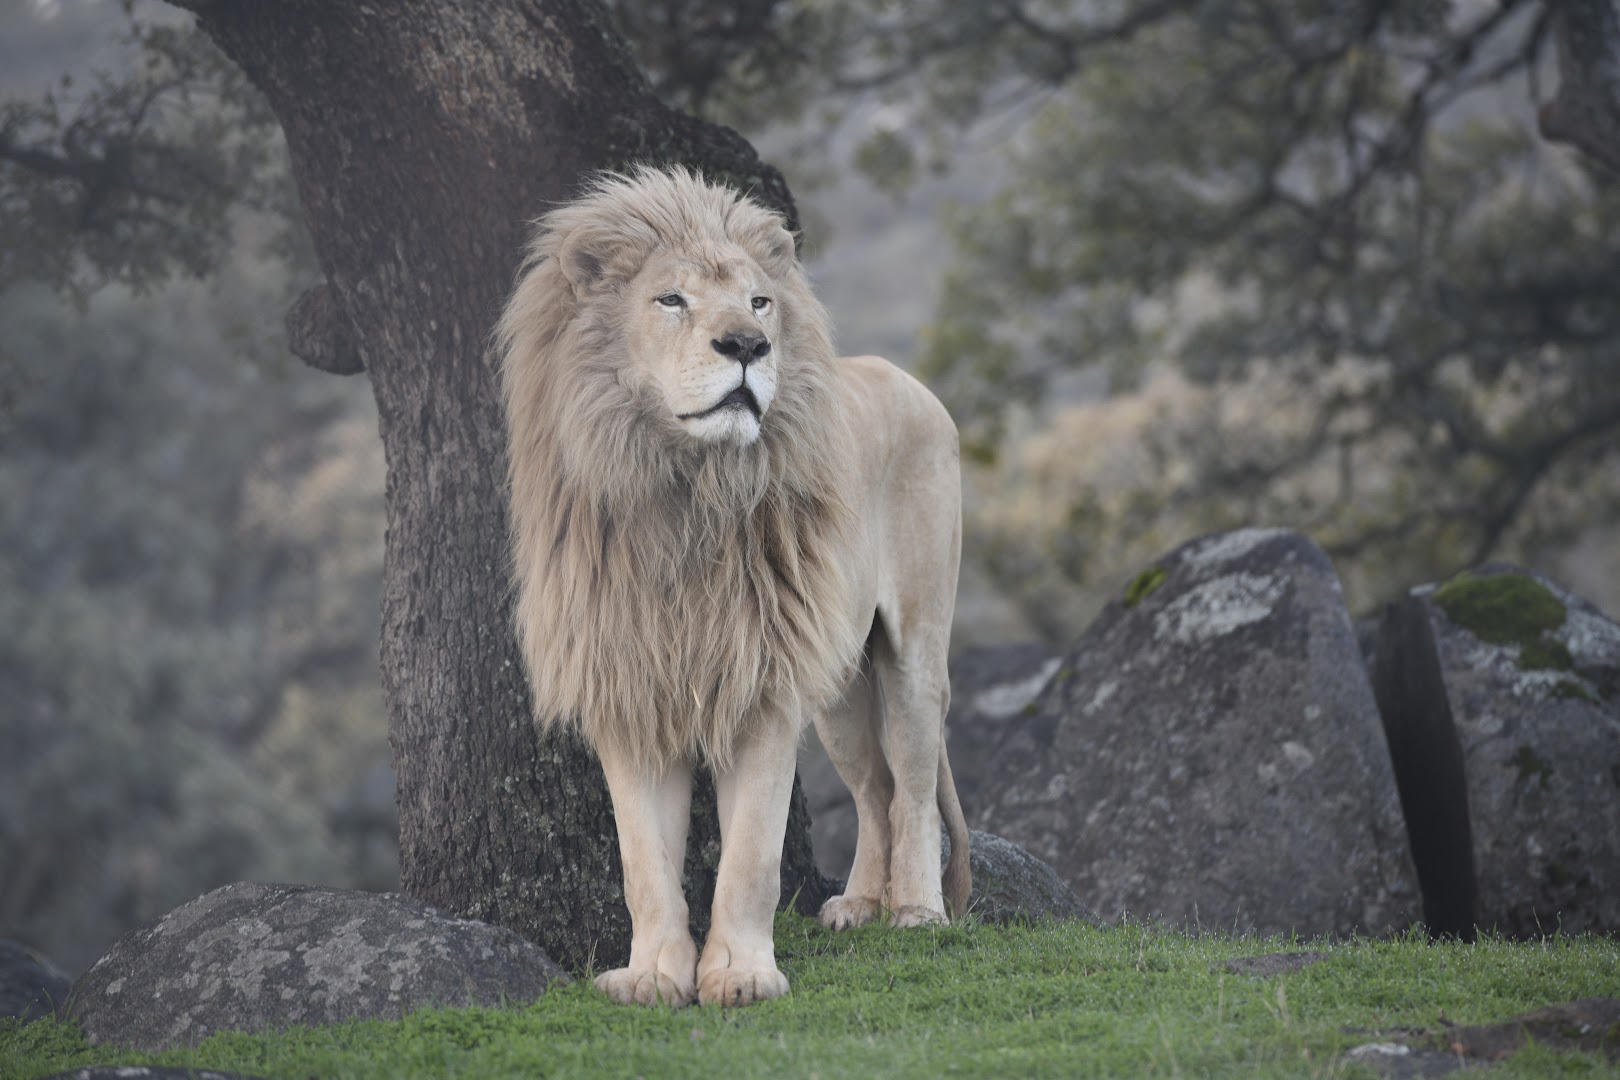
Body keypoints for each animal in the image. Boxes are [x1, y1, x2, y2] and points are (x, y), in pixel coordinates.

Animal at [496, 166, 970, 1008]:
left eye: (759, 302)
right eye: (670, 300)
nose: (749, 346)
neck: (684, 498)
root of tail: (905, 378)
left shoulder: (765, 683)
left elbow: (751, 855)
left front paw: (741, 975)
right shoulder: (629, 686)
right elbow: (643, 863)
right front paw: (654, 974)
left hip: (913, 647)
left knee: (912, 784)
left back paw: (916, 910)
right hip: (838, 688)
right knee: (874, 787)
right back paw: (858, 904)